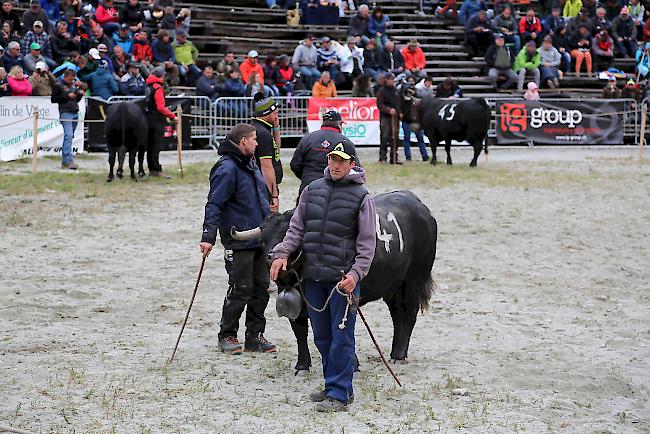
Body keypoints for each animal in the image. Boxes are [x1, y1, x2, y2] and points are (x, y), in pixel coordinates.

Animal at [233, 190, 436, 372]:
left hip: (414, 280)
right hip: (392, 286)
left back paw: (399, 355)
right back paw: (395, 353)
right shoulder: (297, 306)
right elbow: (300, 332)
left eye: (286, 234)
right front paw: (302, 365)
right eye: (263, 240)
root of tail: (419, 206)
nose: (271, 257)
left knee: (409, 314)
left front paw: (351, 364)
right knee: (397, 315)